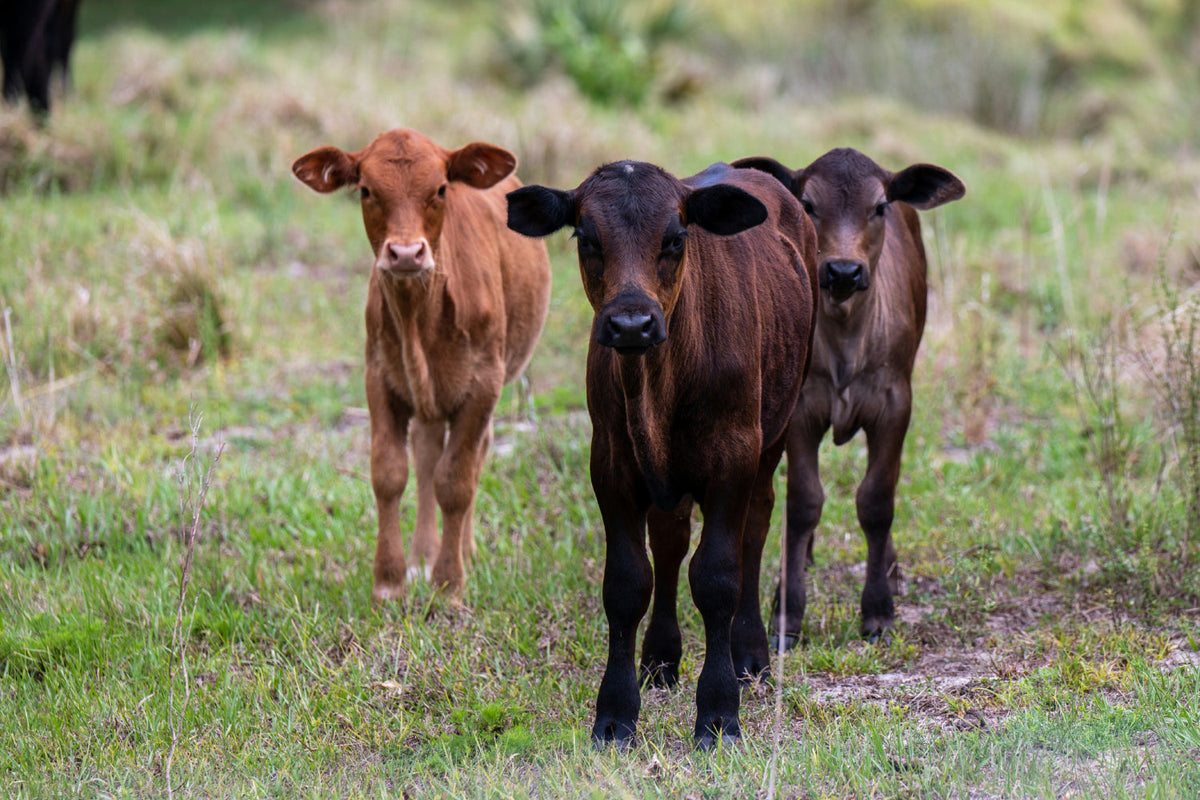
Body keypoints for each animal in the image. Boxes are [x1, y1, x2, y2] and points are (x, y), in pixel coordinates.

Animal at [292, 128, 551, 602]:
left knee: (471, 456)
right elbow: (391, 472)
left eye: (441, 189)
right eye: (366, 190)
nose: (407, 253)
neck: (418, 316)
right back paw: (422, 556)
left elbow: (456, 482)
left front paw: (449, 583)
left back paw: (463, 552)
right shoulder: (379, 377)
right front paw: (390, 579)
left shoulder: (483, 384)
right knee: (428, 454)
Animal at [507, 160, 816, 749]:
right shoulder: (610, 465)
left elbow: (717, 576)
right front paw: (615, 713)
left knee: (756, 526)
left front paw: (718, 712)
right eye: (586, 238)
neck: (656, 384)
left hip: (776, 430)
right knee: (670, 542)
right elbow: (629, 582)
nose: (632, 323)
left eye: (675, 238)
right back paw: (660, 659)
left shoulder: (734, 458)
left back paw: (750, 653)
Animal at [732, 148, 965, 645]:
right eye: (808, 204)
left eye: (879, 207)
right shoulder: (801, 409)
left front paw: (878, 609)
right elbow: (804, 503)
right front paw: (787, 611)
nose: (842, 270)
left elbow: (876, 500)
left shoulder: (895, 404)